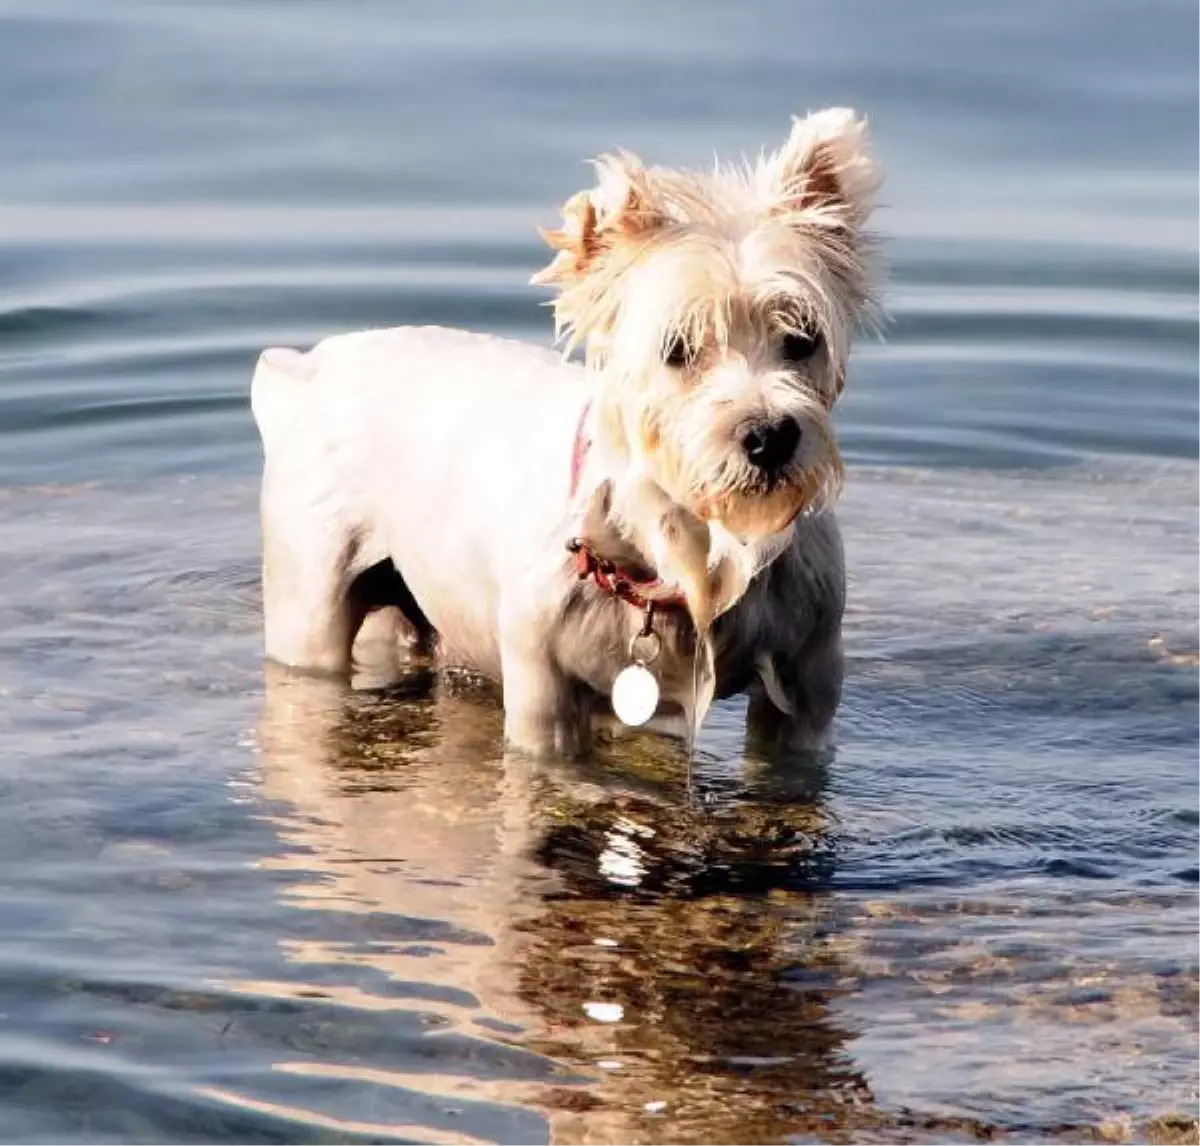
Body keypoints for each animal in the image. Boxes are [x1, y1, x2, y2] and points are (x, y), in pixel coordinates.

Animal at [250, 105, 883, 753]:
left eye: (802, 339)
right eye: (677, 350)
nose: (769, 436)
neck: (688, 555)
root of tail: (305, 368)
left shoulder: (809, 687)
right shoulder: (541, 696)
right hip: (310, 592)